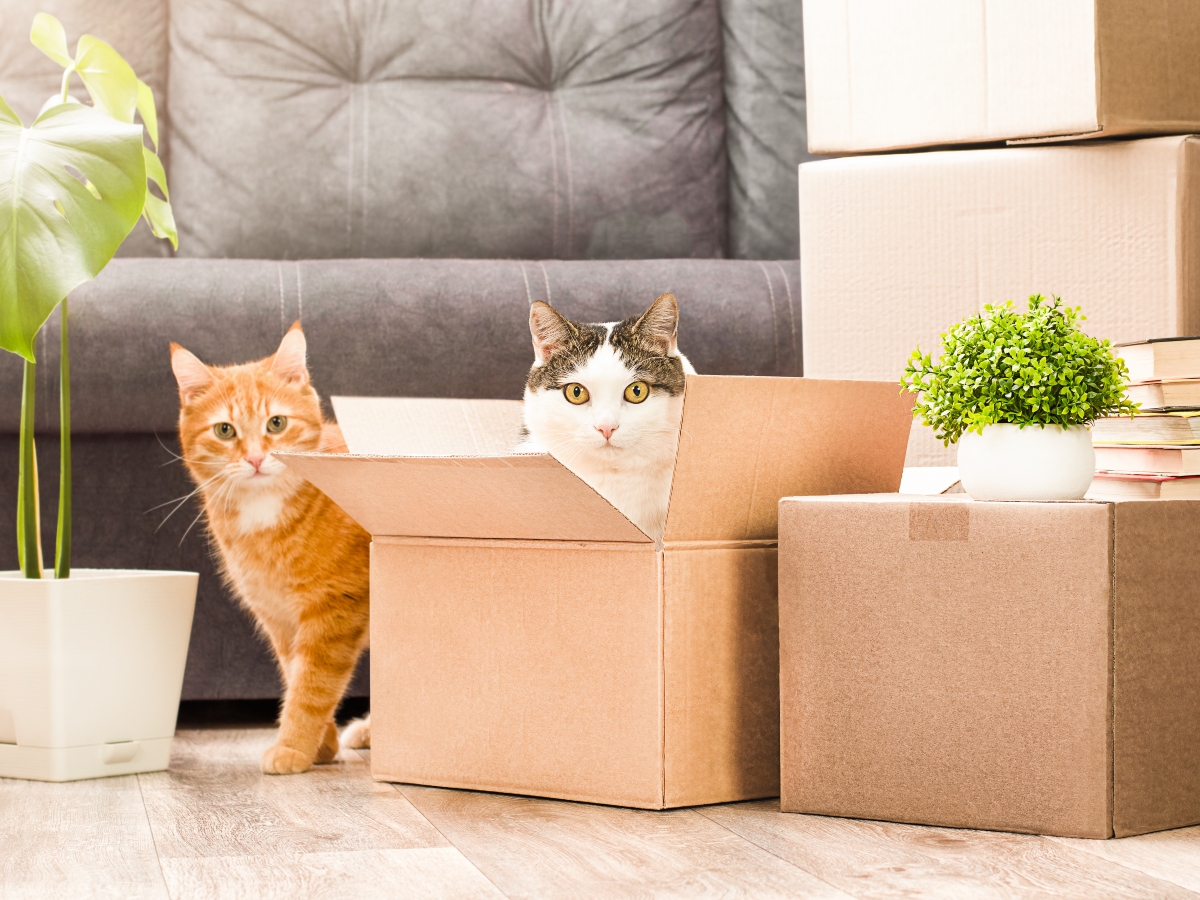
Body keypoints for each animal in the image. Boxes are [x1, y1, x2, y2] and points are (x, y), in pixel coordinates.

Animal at [170, 324, 369, 777]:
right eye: (225, 430)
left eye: (276, 423)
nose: (257, 459)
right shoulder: (279, 618)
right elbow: (295, 674)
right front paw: (321, 746)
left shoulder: (335, 613)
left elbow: (313, 686)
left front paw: (293, 746)